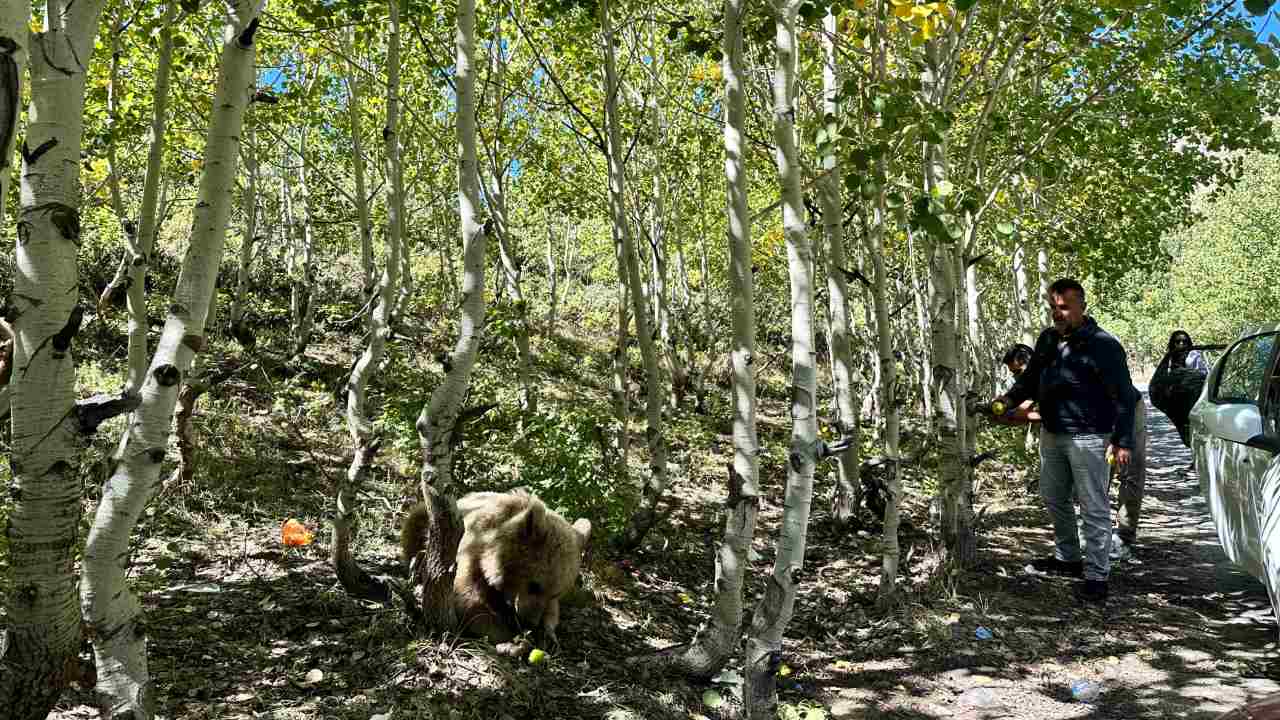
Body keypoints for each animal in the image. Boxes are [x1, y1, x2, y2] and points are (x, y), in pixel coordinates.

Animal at [396, 484, 591, 640]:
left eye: (556, 593)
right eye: (535, 586)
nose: (530, 622)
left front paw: (548, 632)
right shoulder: (470, 550)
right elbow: (467, 597)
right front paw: (506, 633)